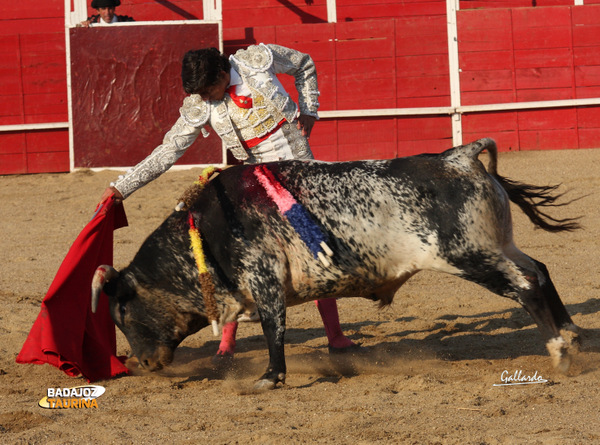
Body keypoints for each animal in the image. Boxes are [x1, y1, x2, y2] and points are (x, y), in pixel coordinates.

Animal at [92, 138, 580, 388]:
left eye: (122, 314)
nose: (143, 363)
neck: (205, 230)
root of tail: (458, 156)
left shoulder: (264, 278)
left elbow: (273, 329)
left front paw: (271, 377)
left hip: (469, 255)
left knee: (526, 286)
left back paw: (559, 352)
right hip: (499, 245)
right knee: (540, 271)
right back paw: (573, 336)